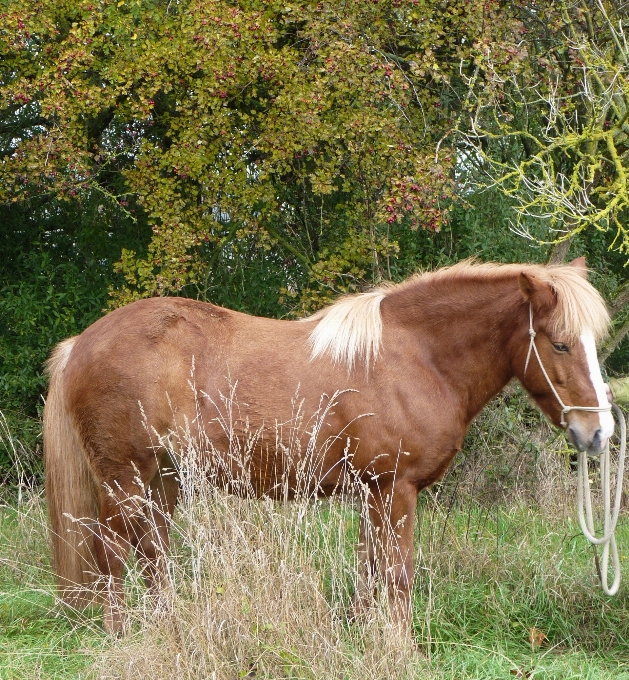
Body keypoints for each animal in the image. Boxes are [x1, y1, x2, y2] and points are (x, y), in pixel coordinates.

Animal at [44, 258, 612, 636]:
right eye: (560, 343)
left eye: (593, 343)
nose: (599, 433)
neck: (414, 356)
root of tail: (79, 344)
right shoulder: (395, 489)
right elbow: (396, 574)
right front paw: (400, 648)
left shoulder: (372, 492)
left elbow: (368, 572)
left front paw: (365, 635)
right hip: (125, 479)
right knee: (112, 553)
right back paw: (123, 635)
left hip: (163, 478)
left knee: (153, 554)